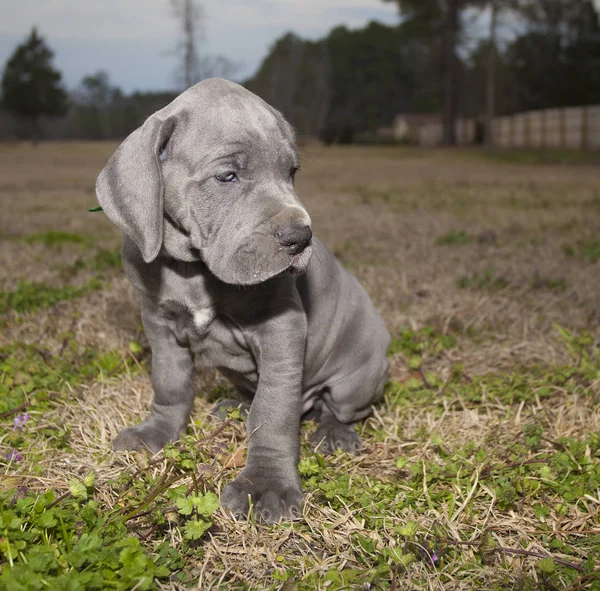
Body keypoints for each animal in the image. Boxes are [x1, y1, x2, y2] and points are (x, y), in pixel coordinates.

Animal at [96, 77, 392, 524]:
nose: (300, 237)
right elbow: (169, 384)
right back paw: (233, 406)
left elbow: (272, 411)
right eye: (227, 176)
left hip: (357, 377)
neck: (193, 270)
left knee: (339, 407)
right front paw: (157, 433)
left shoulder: (282, 329)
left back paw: (333, 432)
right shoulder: (159, 325)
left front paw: (266, 486)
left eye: (292, 172)